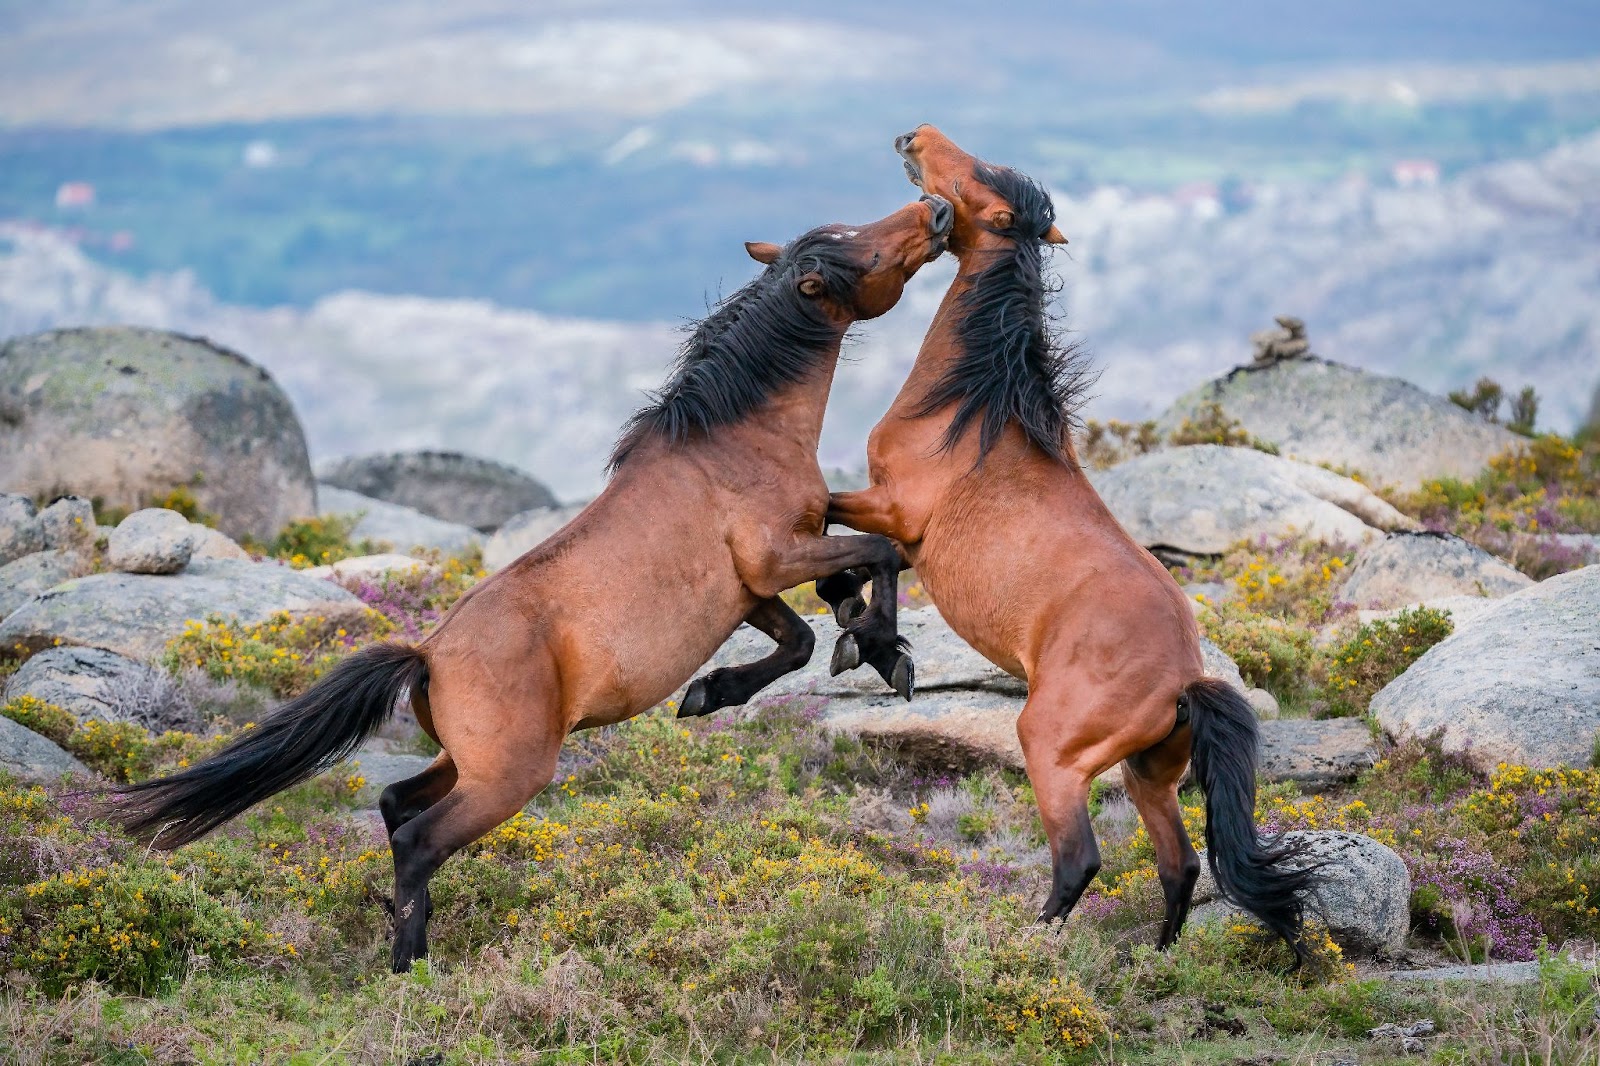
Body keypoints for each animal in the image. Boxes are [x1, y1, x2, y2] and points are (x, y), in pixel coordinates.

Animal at [109, 192, 947, 973]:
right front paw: (884, 651)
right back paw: (411, 966)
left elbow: (804, 633)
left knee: (393, 803)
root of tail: (427, 655)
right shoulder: (776, 557)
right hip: (509, 776)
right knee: (417, 838)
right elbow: (878, 554)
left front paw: (721, 690)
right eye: (863, 252)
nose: (936, 211)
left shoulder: (750, 590)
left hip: (464, 763)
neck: (735, 441)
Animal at [812, 128, 1312, 960]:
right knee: (1180, 865)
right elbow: (856, 565)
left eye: (979, 178)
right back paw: (1154, 959)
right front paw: (875, 646)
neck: (975, 412)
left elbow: (833, 537)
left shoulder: (892, 511)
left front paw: (871, 646)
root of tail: (1185, 682)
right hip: (1148, 776)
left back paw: (1026, 949)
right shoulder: (911, 540)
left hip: (1051, 749)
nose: (916, 139)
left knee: (1080, 859)